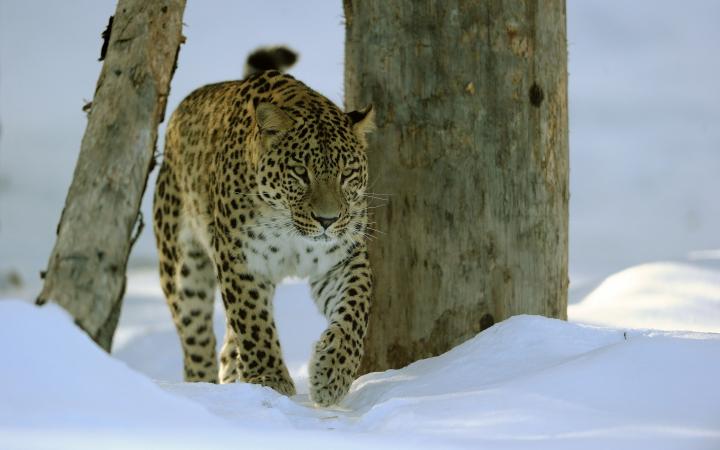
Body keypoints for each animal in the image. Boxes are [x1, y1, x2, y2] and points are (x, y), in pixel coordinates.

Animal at [153, 46, 376, 408]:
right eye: (301, 172)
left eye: (346, 174)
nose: (327, 220)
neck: (287, 224)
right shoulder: (239, 259)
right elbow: (253, 322)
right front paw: (270, 379)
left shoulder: (341, 259)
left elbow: (355, 310)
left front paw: (332, 373)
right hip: (182, 269)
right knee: (196, 340)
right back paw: (204, 389)